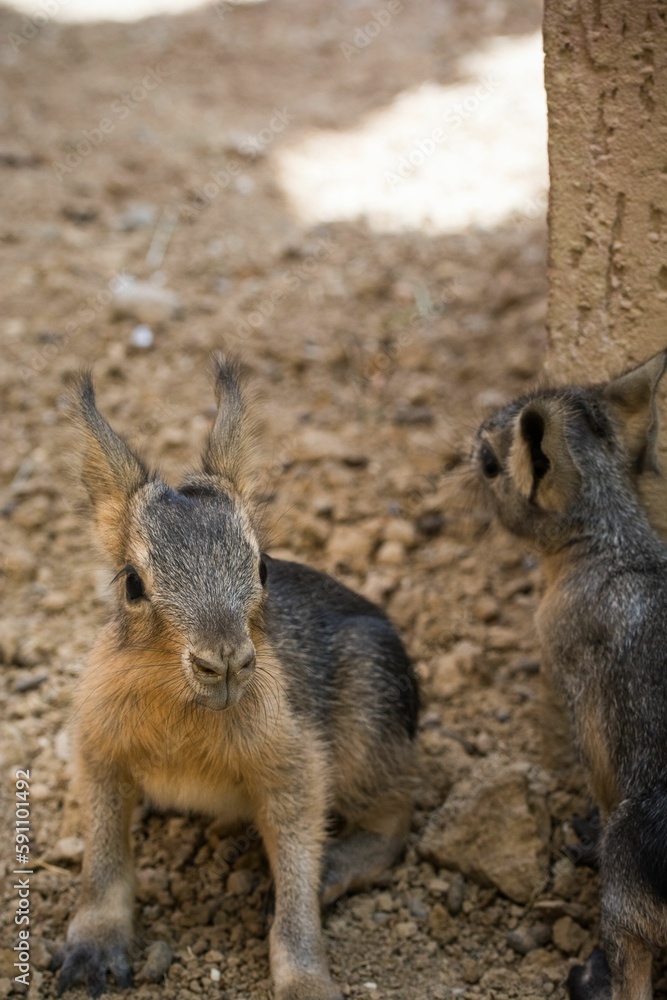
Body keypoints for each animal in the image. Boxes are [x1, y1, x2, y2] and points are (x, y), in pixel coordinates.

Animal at [53, 356, 419, 1000]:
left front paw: (306, 982)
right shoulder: (99, 756)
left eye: (263, 567)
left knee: (394, 820)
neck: (183, 710)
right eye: (132, 583)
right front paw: (91, 950)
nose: (223, 661)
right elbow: (103, 861)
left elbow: (296, 886)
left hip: (366, 733)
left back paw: (333, 869)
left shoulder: (296, 770)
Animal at [472, 349, 667, 1000]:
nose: (471, 436)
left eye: (489, 461)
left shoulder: (585, 701)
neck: (612, 545)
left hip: (628, 883)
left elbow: (599, 789)